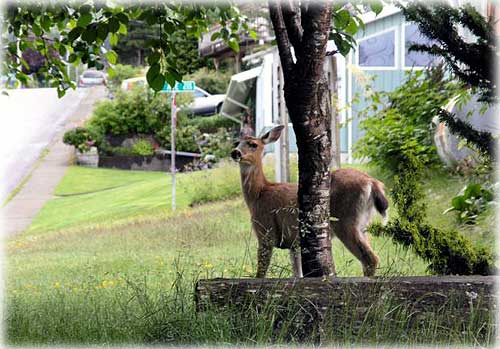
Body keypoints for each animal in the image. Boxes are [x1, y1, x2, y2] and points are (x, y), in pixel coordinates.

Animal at [232, 125, 388, 278]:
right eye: (236, 143)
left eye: (253, 144)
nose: (235, 153)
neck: (259, 194)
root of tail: (372, 182)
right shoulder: (294, 244)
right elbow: (297, 274)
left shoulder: (266, 232)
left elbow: (260, 273)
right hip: (363, 224)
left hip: (345, 221)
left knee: (370, 259)